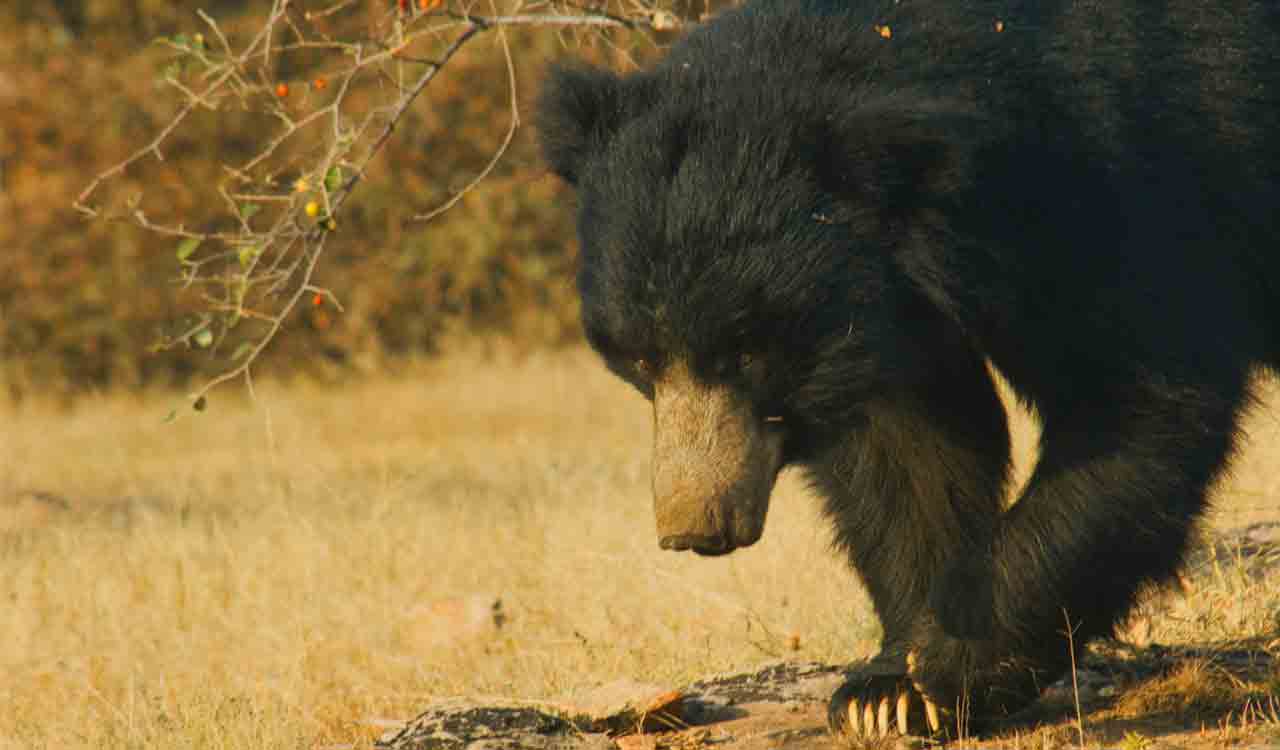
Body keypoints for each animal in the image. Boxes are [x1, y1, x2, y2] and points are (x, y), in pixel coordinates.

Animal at [537, 0, 1280, 739]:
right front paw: (887, 694)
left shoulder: (1127, 177)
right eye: (641, 358)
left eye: (747, 351)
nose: (695, 527)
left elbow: (1135, 402)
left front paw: (949, 663)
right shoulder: (893, 311)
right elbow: (908, 459)